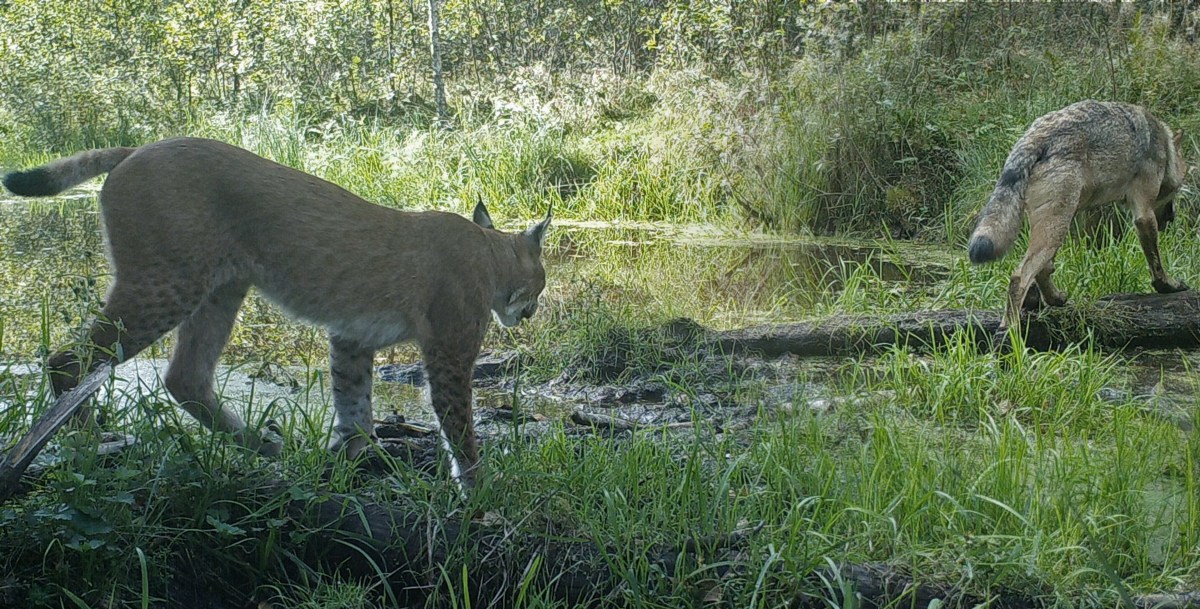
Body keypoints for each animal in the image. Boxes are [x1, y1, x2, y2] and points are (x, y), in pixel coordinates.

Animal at [2, 137, 551, 487]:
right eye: (541, 284)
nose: (531, 311)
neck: (490, 249)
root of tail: (140, 146)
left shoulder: (351, 338)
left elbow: (355, 406)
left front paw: (348, 460)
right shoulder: (449, 350)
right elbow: (458, 424)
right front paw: (478, 491)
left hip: (220, 287)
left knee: (184, 376)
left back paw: (262, 446)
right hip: (167, 284)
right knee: (69, 359)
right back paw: (91, 444)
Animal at [968, 100, 1189, 328]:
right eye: (1177, 190)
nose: (1172, 218)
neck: (1164, 145)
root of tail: (1034, 137)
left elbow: (1046, 270)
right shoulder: (1144, 215)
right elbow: (1156, 262)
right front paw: (1168, 285)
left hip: (1058, 222)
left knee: (1041, 269)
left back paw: (1053, 299)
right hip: (1057, 226)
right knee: (1020, 276)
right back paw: (1010, 329)